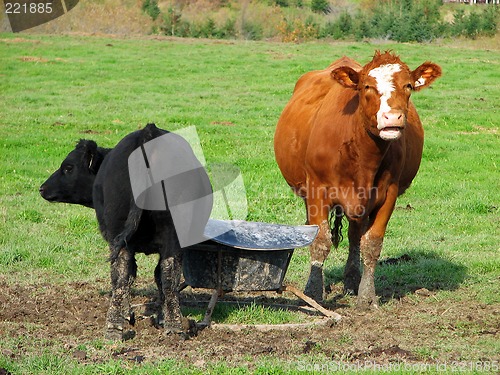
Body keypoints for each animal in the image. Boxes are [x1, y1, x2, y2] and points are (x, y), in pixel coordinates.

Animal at [274, 50, 442, 308]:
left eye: (408, 85)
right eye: (367, 86)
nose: (392, 117)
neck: (364, 157)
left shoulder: (389, 194)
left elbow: (371, 243)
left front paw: (366, 296)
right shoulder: (317, 191)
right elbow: (320, 241)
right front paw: (313, 292)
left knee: (355, 237)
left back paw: (352, 280)